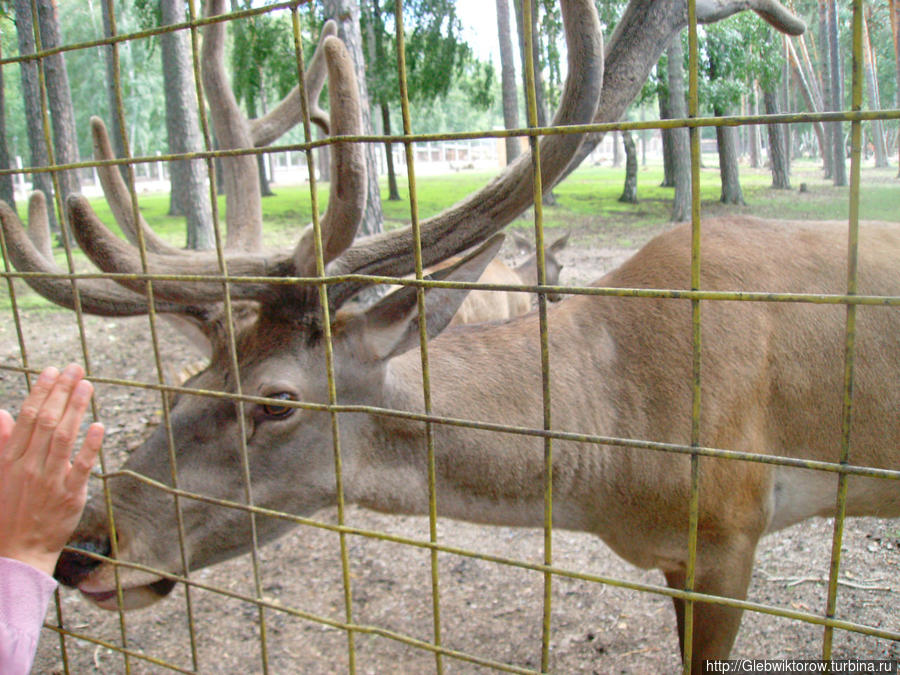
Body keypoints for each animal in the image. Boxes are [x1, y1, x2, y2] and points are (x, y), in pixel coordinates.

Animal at [1, 0, 892, 672]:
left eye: (278, 400)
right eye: (190, 383)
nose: (85, 541)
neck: (622, 447)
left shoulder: (731, 527)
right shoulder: (682, 555)